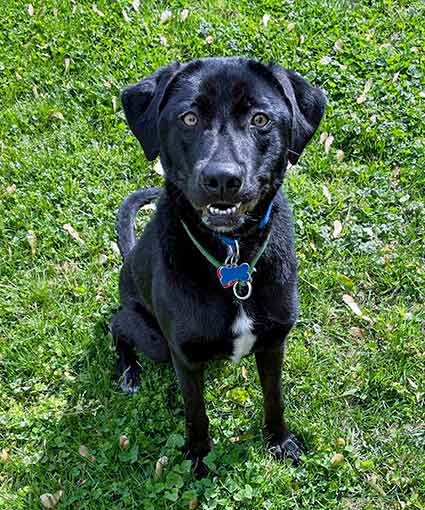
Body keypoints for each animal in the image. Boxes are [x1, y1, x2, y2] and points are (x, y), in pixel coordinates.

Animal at [110, 57, 324, 476]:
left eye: (260, 119)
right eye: (189, 118)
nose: (222, 179)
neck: (233, 256)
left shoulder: (274, 342)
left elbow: (274, 397)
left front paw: (279, 440)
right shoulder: (184, 356)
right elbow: (196, 412)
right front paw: (197, 456)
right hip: (154, 341)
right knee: (115, 324)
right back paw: (128, 371)